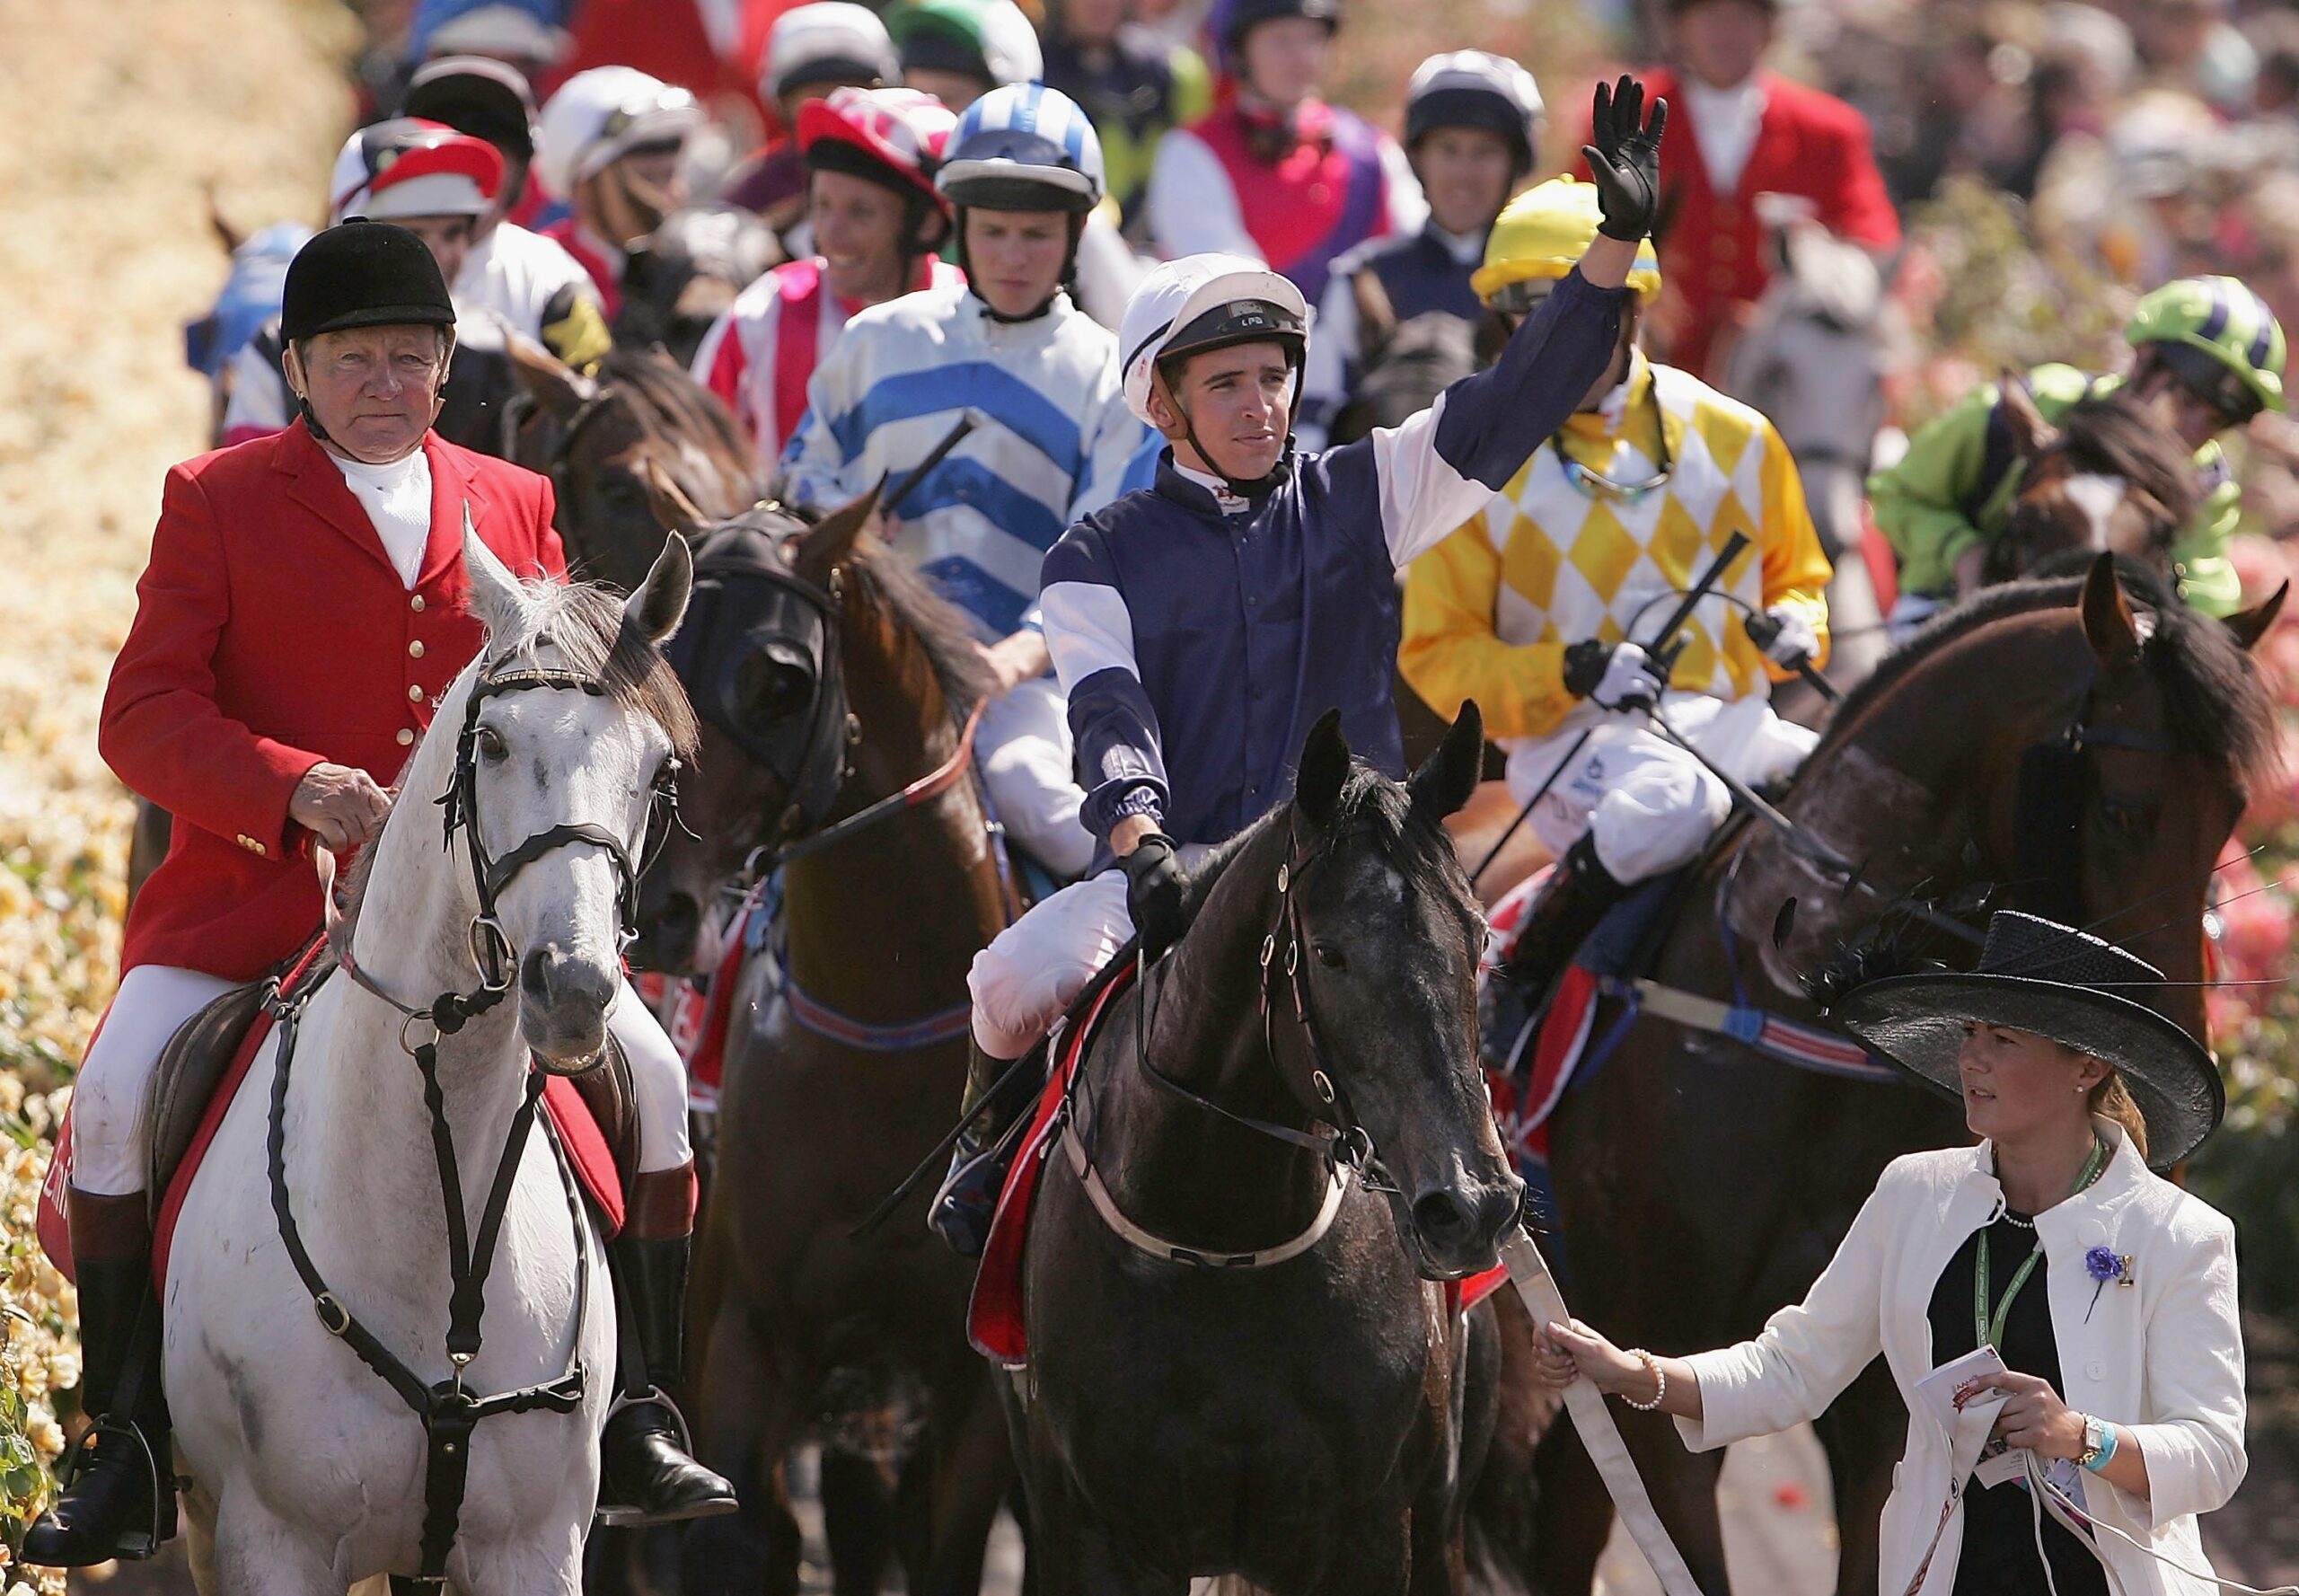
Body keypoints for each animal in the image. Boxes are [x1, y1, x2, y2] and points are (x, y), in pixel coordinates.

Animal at [1011, 708, 1526, 1591]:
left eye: (1479, 937)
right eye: (1328, 952)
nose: (1475, 1207)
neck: (1221, 1234)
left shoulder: (1367, 1529)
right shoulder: (1096, 1529)